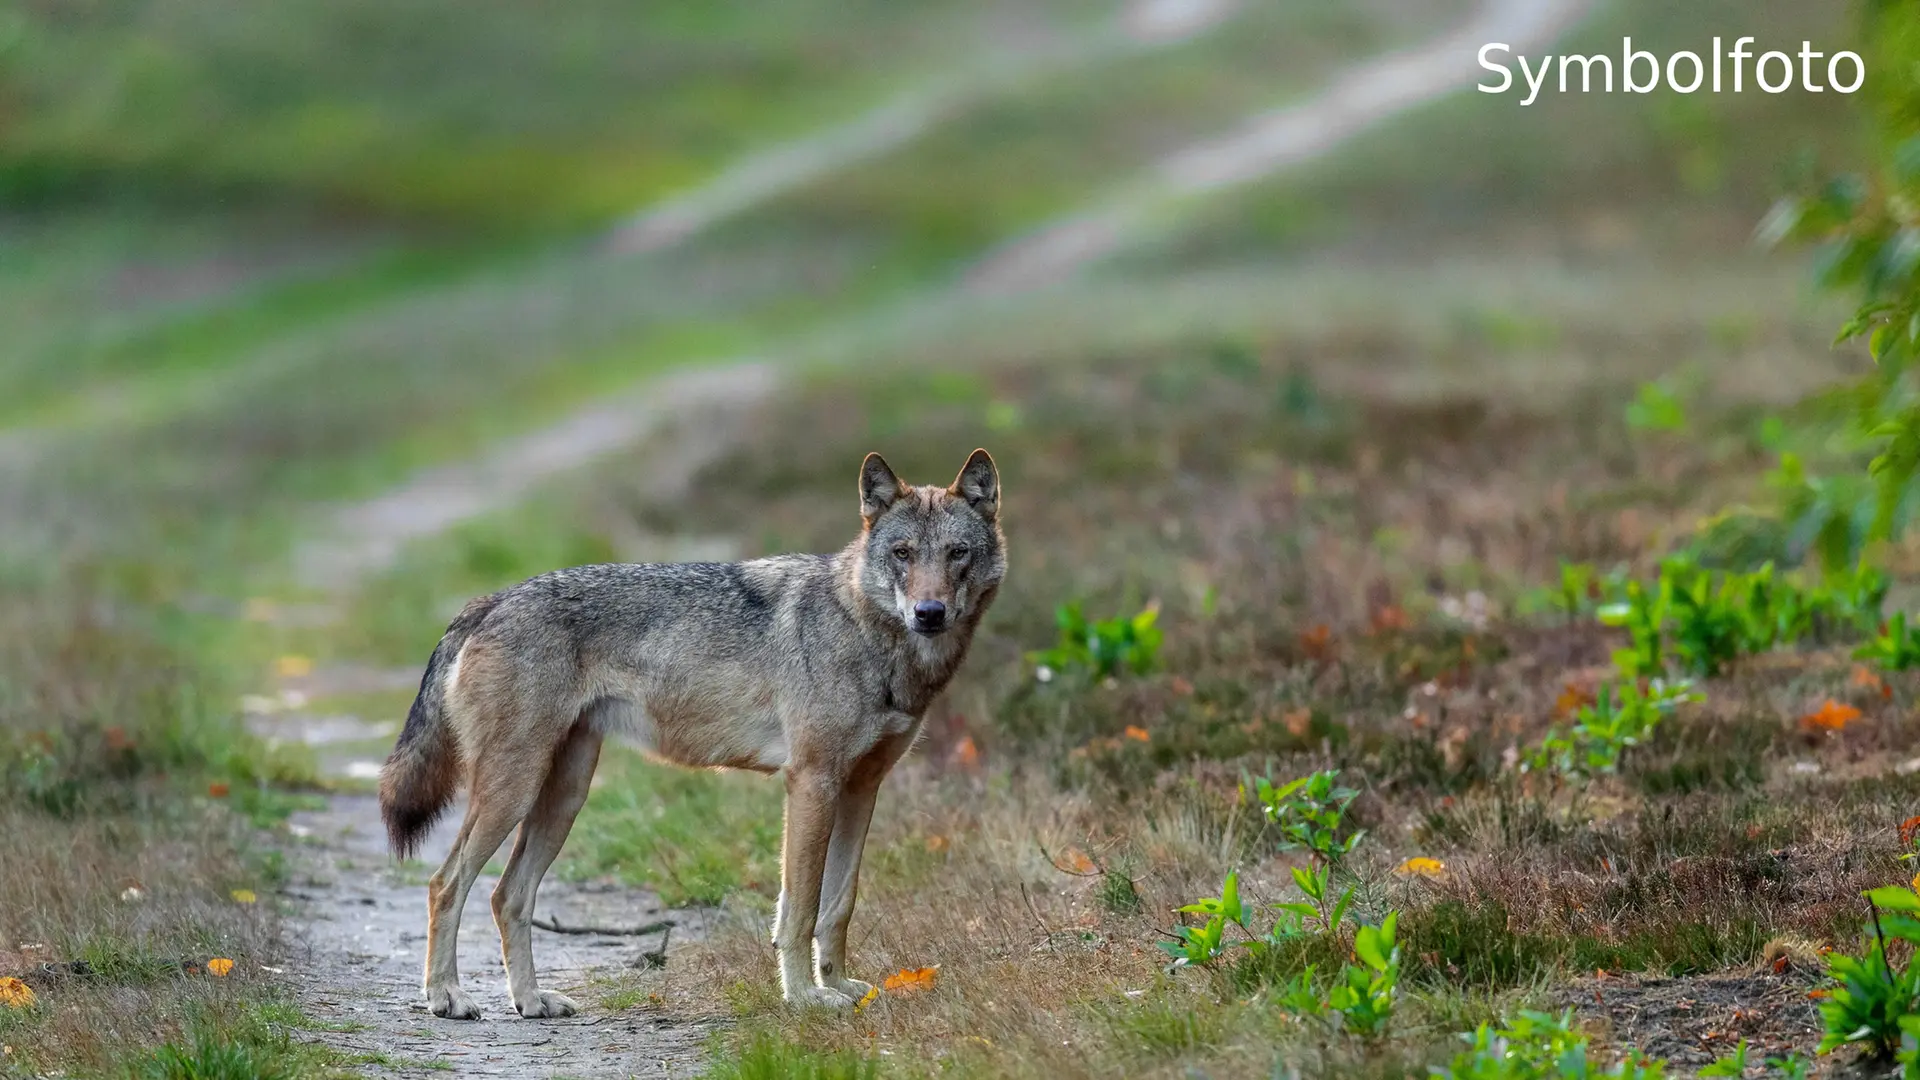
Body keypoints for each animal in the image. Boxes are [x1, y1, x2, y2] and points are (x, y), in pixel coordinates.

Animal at [377, 449, 1004, 1018]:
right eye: (902, 554)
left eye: (957, 553)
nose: (929, 612)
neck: (871, 634)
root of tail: (490, 601)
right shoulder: (811, 782)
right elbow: (799, 908)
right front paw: (805, 998)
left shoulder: (861, 788)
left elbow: (838, 904)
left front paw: (842, 987)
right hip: (513, 791)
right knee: (444, 883)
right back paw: (447, 997)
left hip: (563, 797)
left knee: (507, 894)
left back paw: (531, 1001)